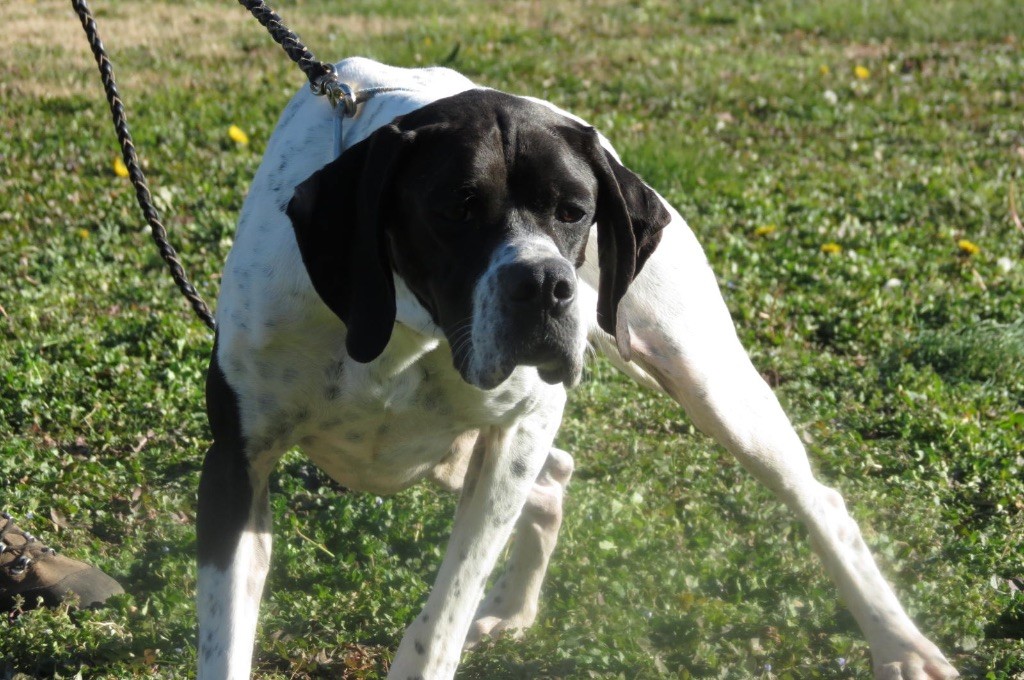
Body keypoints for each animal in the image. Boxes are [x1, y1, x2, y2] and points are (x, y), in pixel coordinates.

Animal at [197, 58, 958, 680]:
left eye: (575, 212)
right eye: (455, 209)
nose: (544, 284)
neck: (409, 331)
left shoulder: (519, 426)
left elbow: (440, 620)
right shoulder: (238, 465)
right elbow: (224, 639)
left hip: (711, 389)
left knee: (818, 501)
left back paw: (900, 645)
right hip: (447, 455)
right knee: (554, 478)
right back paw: (515, 607)